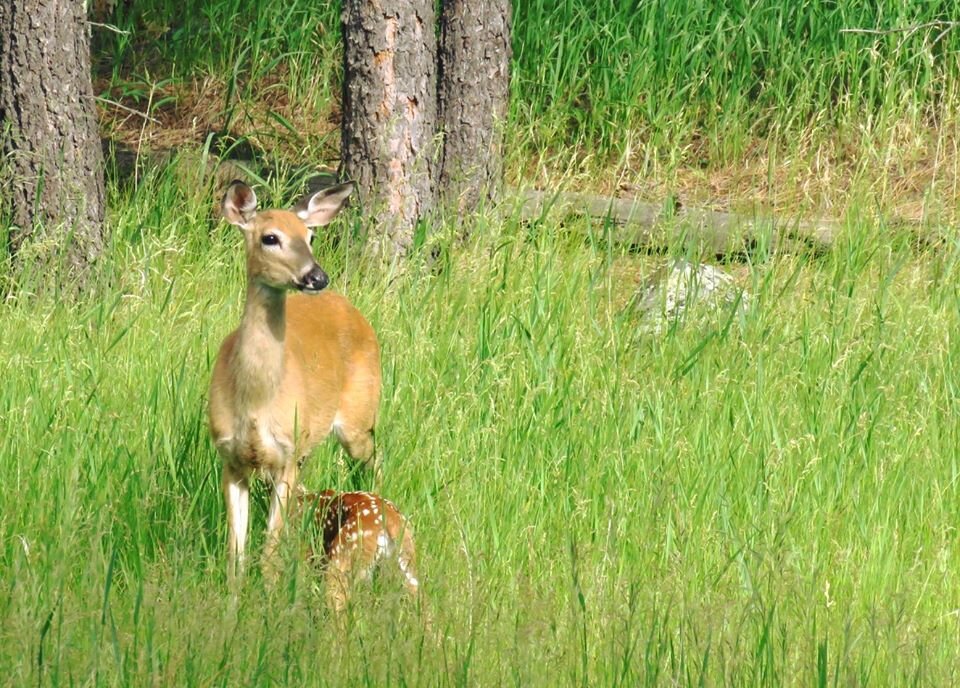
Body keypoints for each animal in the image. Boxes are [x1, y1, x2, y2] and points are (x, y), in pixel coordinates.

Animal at [210, 179, 382, 580]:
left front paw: (269, 589)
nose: (317, 277)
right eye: (270, 237)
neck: (256, 402)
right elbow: (236, 553)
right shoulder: (231, 458)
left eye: (310, 236)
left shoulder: (286, 454)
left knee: (375, 457)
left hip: (358, 418)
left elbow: (269, 553)